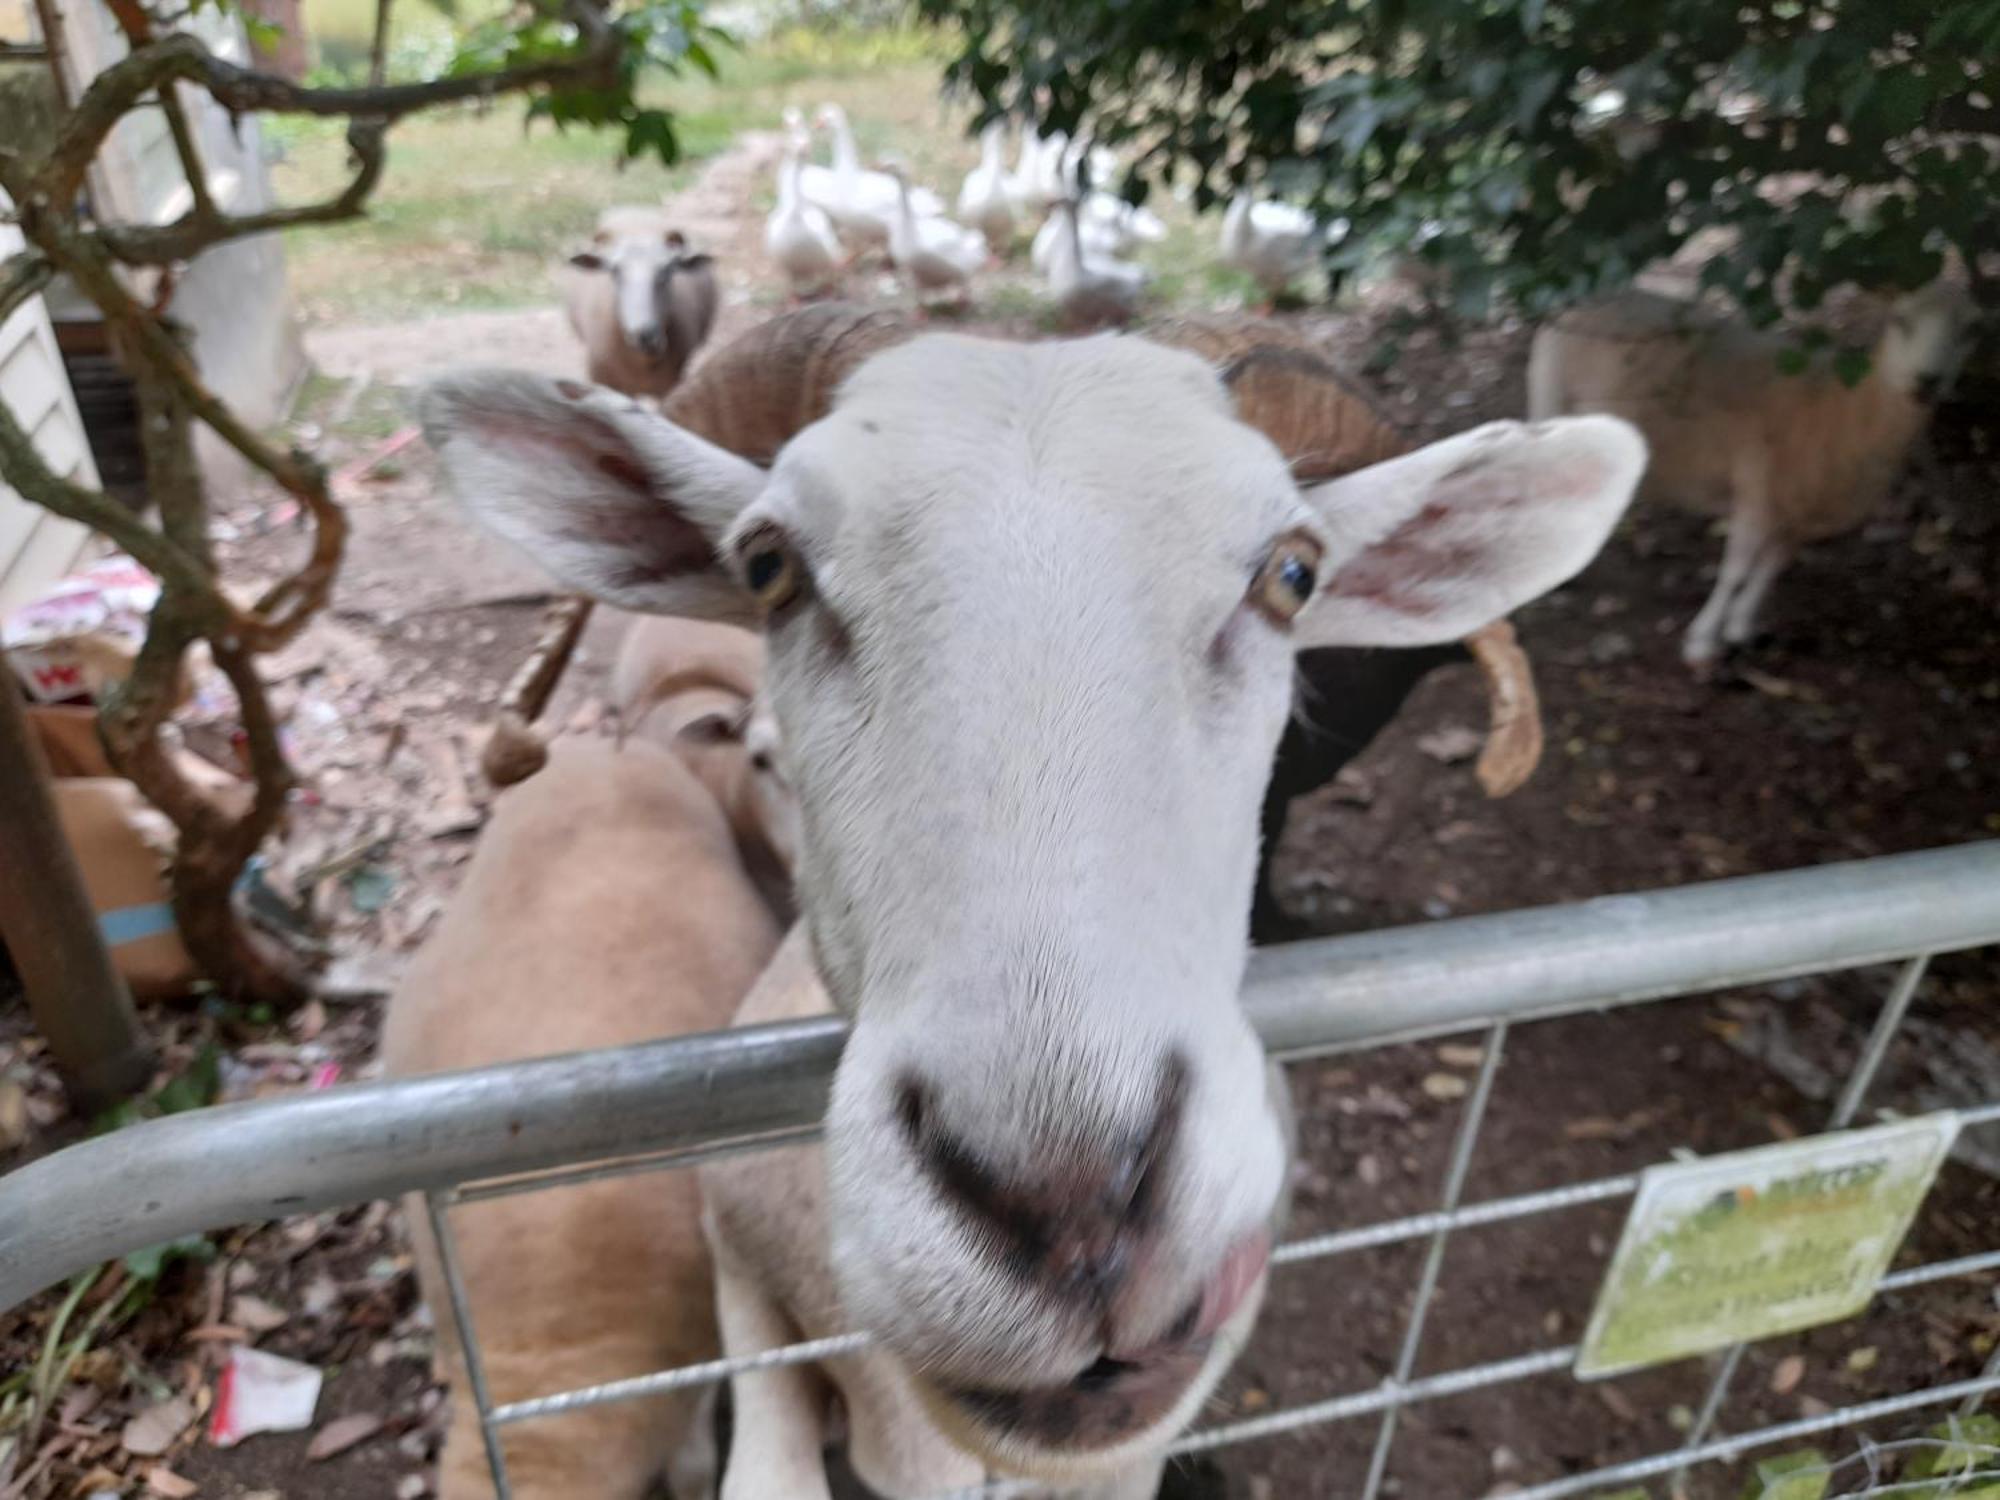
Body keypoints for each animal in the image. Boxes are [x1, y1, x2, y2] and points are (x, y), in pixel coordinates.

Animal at [1528, 282, 1968, 668]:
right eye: (1899, 320)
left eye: (1971, 328)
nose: (1928, 381)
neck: (1840, 407)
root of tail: (1582, 294)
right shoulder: (1757, 490)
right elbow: (1735, 572)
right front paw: (1702, 641)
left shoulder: (1799, 508)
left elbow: (1772, 567)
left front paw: (1741, 627)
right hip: (1549, 394)